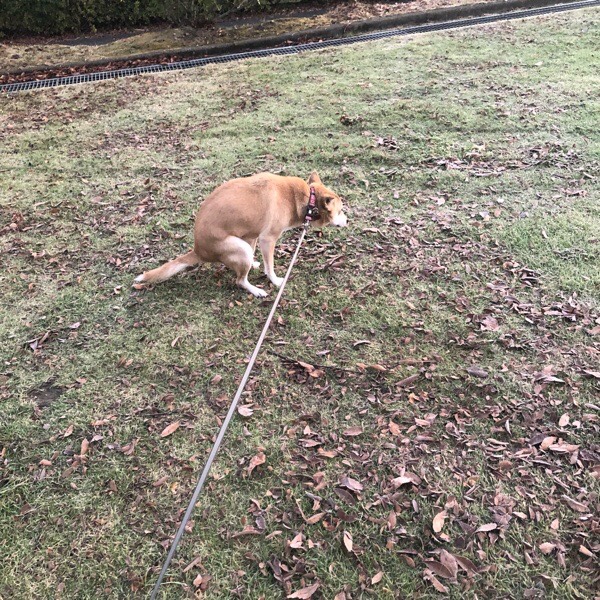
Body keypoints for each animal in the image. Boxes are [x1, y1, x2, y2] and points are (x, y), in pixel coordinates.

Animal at [134, 171, 347, 297]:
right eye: (341, 210)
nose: (347, 221)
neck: (308, 199)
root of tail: (198, 250)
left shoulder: (255, 236)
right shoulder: (267, 239)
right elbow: (270, 267)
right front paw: (276, 280)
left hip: (245, 240)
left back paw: (252, 263)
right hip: (240, 247)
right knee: (239, 280)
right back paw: (256, 290)